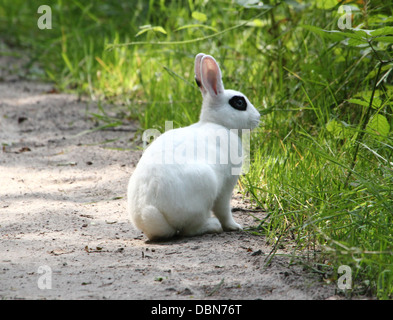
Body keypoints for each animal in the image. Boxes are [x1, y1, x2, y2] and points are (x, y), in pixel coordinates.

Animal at [126, 53, 260, 240]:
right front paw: (235, 227)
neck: (218, 123)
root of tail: (151, 216)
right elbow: (224, 210)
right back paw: (213, 226)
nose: (258, 117)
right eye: (239, 103)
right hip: (206, 187)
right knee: (189, 229)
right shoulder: (226, 185)